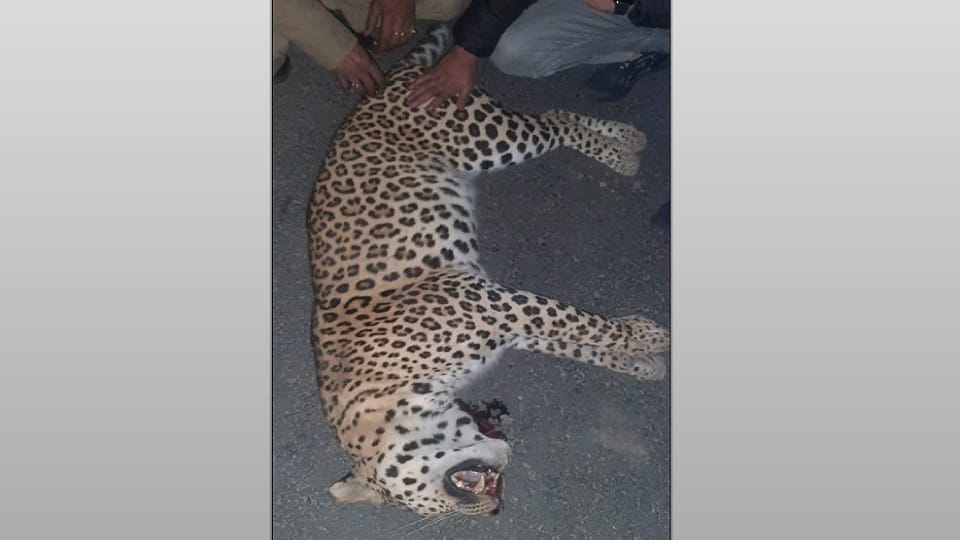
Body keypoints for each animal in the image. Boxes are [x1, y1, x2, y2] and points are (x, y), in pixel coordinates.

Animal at [307, 26, 669, 518]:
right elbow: (577, 342)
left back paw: (624, 149)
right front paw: (643, 363)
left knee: (553, 121)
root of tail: (385, 85)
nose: (494, 510)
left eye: (438, 503)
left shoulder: (491, 302)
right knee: (555, 118)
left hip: (486, 136)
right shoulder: (506, 324)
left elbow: (586, 324)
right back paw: (628, 140)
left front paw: (648, 335)